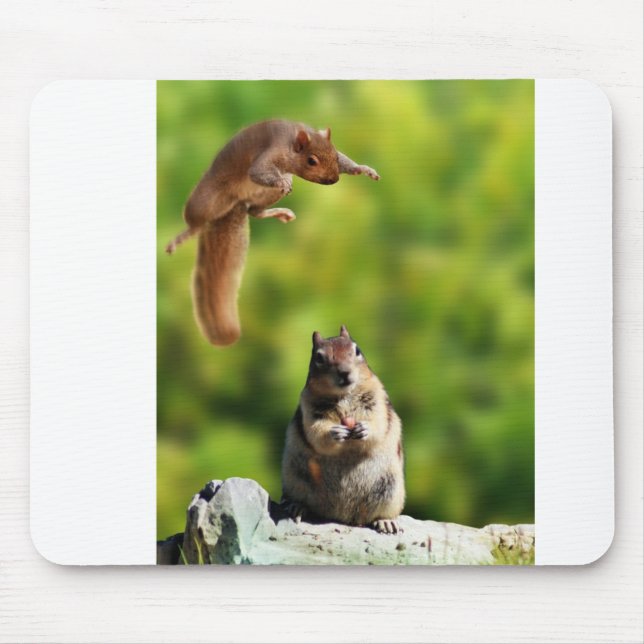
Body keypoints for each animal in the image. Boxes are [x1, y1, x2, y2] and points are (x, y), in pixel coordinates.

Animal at [165, 120, 380, 346]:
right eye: (311, 160)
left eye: (335, 155)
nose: (333, 179)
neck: (293, 139)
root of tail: (235, 203)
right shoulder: (270, 153)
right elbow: (259, 171)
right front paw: (280, 180)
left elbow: (349, 163)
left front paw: (363, 168)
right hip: (205, 200)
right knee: (198, 220)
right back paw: (184, 235)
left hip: (266, 194)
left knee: (254, 211)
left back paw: (281, 212)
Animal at [281, 325, 405, 534]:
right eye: (319, 357)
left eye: (357, 350)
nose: (344, 372)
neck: (344, 395)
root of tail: (342, 516)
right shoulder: (310, 407)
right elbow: (316, 431)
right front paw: (335, 432)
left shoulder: (377, 399)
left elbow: (378, 423)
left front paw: (365, 429)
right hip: (295, 480)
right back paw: (296, 506)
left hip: (391, 489)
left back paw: (386, 522)